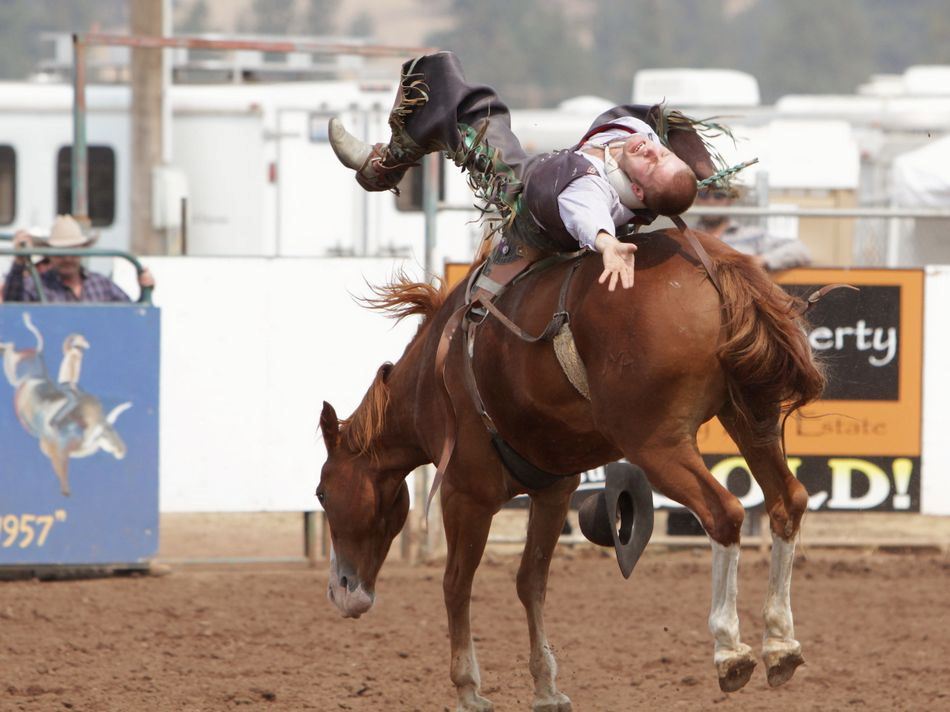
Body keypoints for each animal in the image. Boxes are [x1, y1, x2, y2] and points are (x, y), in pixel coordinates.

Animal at [317, 227, 824, 711]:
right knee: (787, 501)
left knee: (724, 513)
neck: (432, 375)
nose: (341, 591)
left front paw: (468, 691)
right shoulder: (554, 490)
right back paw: (780, 645)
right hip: (751, 416)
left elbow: (456, 583)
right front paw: (546, 688)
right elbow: (531, 582)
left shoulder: (465, 491)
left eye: (321, 493)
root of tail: (714, 264)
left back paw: (730, 651)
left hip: (658, 443)